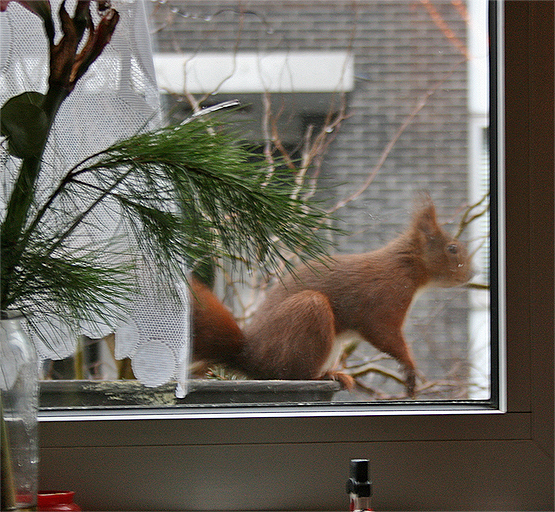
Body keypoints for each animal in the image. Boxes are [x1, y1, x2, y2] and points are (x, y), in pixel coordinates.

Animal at [189, 198, 472, 398]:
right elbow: (384, 334)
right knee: (290, 373)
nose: (472, 272)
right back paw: (321, 378)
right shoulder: (384, 300)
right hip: (308, 312)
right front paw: (410, 368)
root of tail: (251, 355)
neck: (405, 266)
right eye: (452, 248)